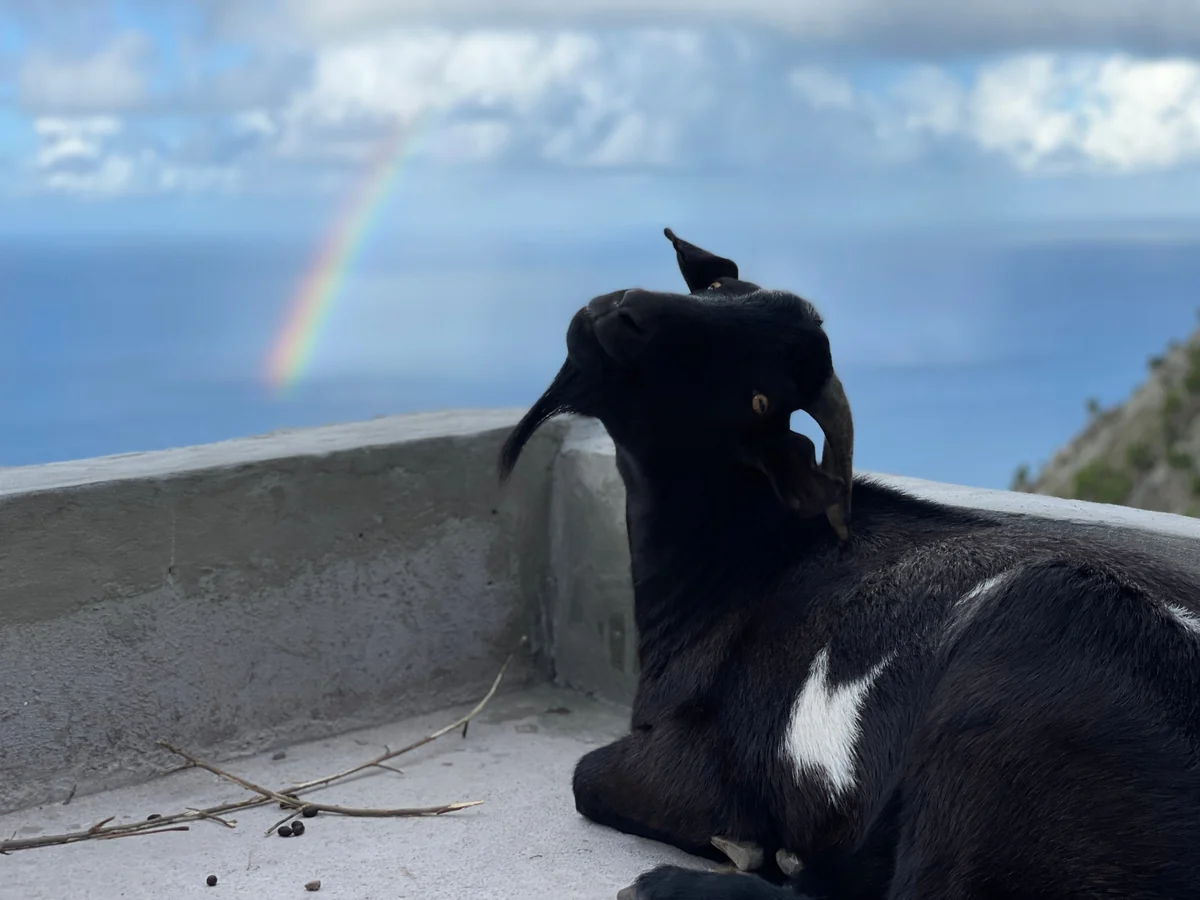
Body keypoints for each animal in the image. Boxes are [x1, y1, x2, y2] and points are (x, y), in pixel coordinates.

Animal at [498, 228, 1200, 900]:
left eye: (757, 401)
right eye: (719, 287)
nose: (627, 310)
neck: (739, 569)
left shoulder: (705, 762)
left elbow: (586, 777)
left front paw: (748, 848)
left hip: (1032, 642)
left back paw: (672, 884)